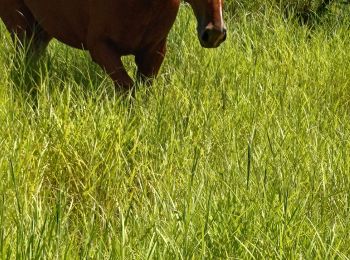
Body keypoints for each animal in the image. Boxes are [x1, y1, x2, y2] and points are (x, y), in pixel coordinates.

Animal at [0, 0, 227, 89]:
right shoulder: (101, 48)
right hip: (21, 26)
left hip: (43, 28)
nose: (215, 33)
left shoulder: (154, 52)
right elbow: (128, 88)